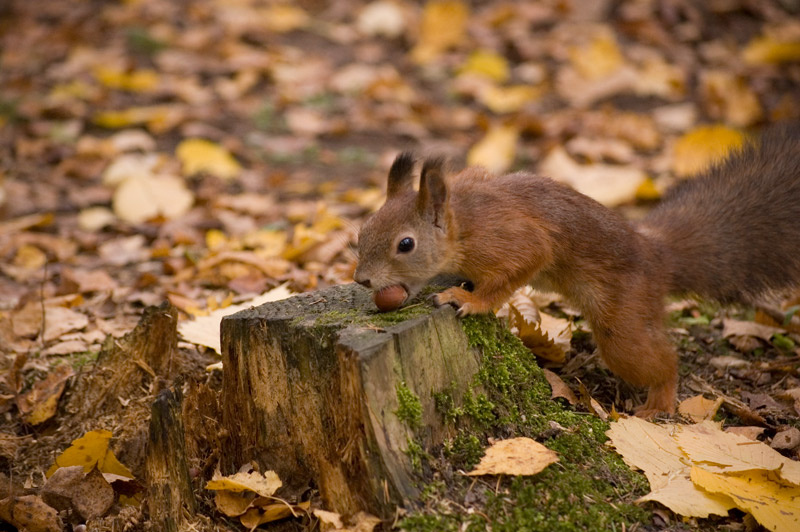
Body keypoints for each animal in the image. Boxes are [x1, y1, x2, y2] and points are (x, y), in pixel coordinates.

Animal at [353, 125, 800, 416]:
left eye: (405, 244)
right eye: (364, 228)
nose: (362, 279)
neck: (463, 220)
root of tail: (656, 254)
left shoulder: (515, 241)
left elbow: (521, 265)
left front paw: (468, 298)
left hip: (624, 322)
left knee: (661, 358)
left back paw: (658, 401)